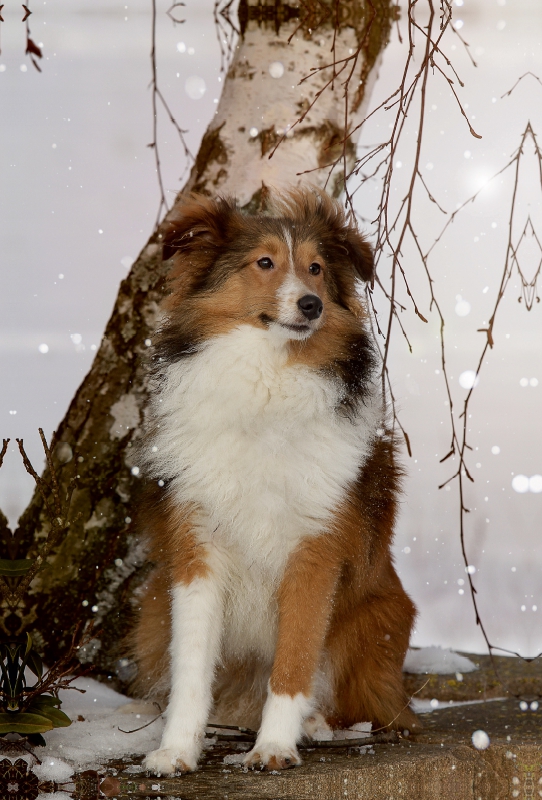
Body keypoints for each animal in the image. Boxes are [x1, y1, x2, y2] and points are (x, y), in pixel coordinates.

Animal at [133, 188, 420, 776]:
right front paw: (176, 750)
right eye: (264, 262)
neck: (268, 381)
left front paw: (272, 748)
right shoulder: (198, 547)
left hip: (379, 612)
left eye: (316, 269)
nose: (311, 305)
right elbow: (191, 668)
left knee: (363, 705)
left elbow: (293, 659)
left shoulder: (314, 551)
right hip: (151, 607)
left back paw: (315, 725)